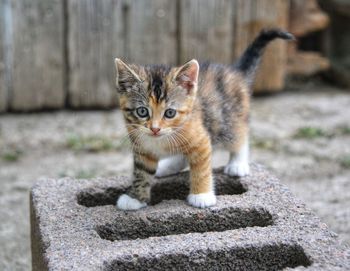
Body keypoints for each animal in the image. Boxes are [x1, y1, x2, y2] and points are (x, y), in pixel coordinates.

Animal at [114, 28, 292, 210]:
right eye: (142, 111)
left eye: (170, 113)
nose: (155, 129)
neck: (161, 139)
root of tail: (234, 72)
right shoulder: (141, 148)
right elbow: (141, 173)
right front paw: (135, 198)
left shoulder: (201, 139)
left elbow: (201, 168)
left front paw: (202, 195)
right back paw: (167, 167)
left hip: (229, 119)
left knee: (239, 135)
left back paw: (237, 163)